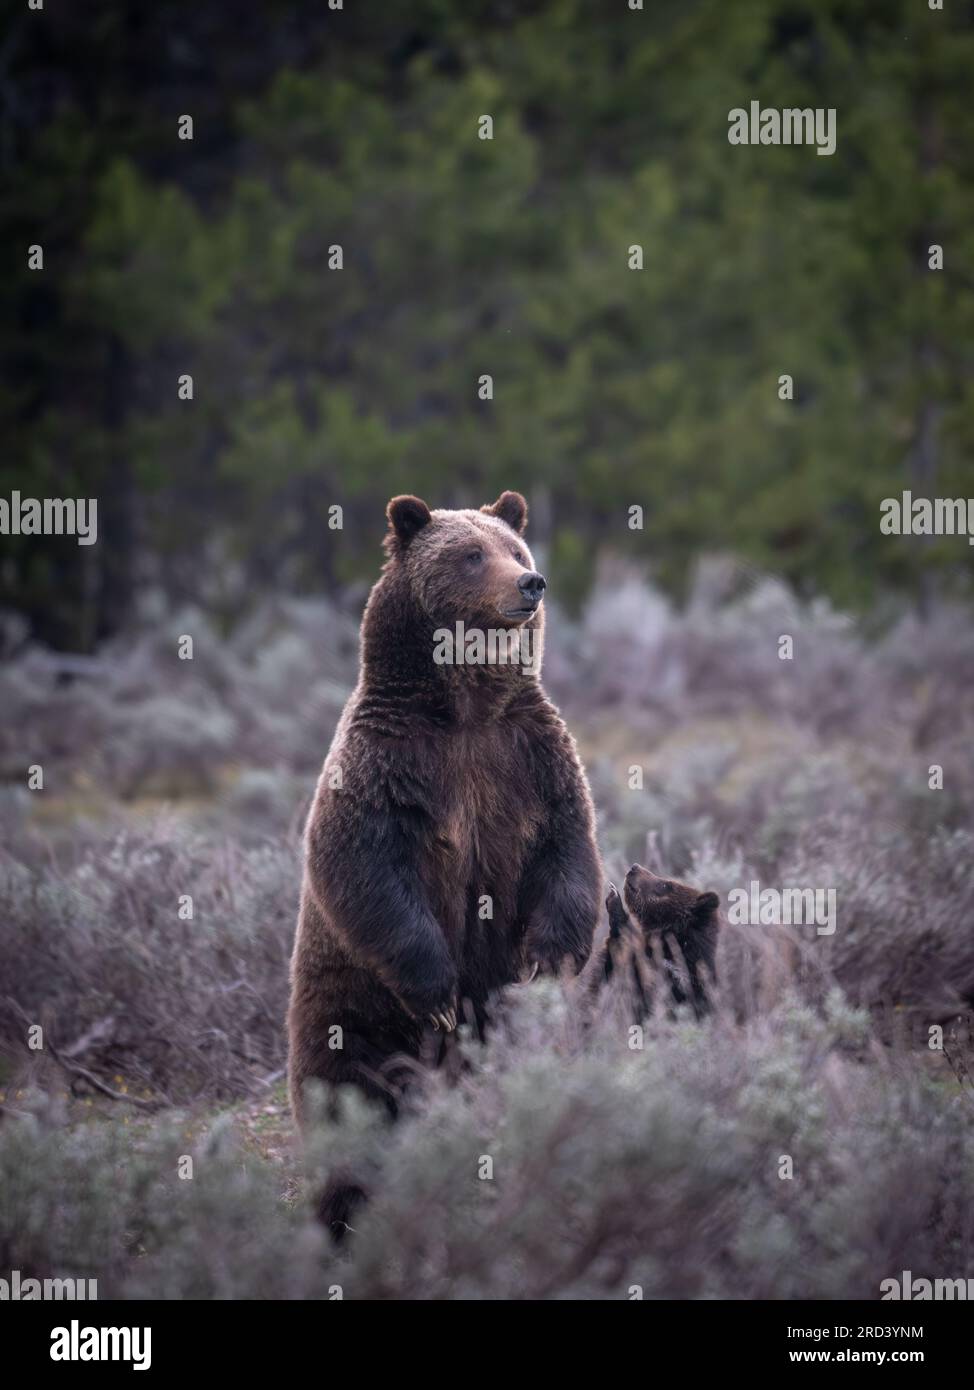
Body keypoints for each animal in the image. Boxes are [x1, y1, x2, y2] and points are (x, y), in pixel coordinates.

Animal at [286, 494, 600, 1234]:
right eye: (471, 554)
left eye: (517, 548)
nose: (531, 584)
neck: (466, 709)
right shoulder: (387, 766)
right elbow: (363, 868)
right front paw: (436, 991)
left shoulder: (531, 758)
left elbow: (569, 850)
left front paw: (549, 955)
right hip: (348, 1006)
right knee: (348, 1097)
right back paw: (344, 1212)